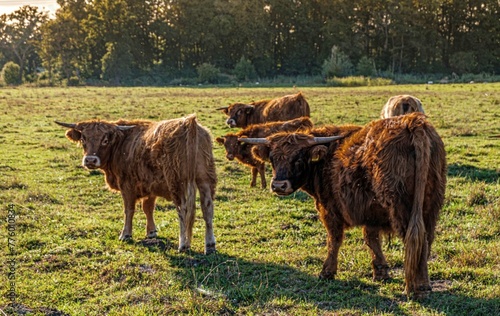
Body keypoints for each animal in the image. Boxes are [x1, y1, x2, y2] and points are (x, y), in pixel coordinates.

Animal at [56, 114, 217, 254]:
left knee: (183, 209)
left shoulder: (127, 185)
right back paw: (210, 245)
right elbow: (148, 208)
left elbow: (129, 210)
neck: (121, 144)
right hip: (205, 179)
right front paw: (151, 232)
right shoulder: (150, 185)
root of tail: (189, 123)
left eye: (105, 140)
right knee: (207, 208)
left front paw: (125, 234)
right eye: (83, 138)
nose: (90, 160)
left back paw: (183, 244)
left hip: (178, 182)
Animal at [240, 113, 448, 298]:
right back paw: (424, 283)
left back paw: (414, 288)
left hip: (400, 207)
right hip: (430, 205)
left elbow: (334, 240)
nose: (278, 185)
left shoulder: (329, 209)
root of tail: (412, 121)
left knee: (413, 238)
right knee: (426, 239)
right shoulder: (370, 211)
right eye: (273, 158)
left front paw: (327, 272)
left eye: (298, 158)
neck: (325, 159)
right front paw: (380, 272)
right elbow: (372, 240)